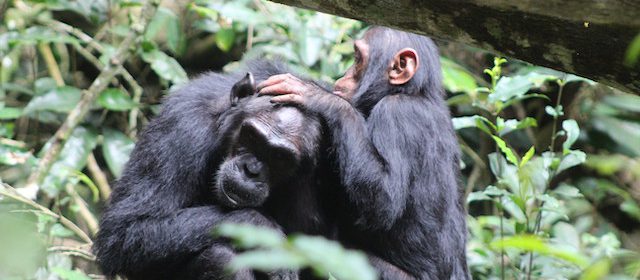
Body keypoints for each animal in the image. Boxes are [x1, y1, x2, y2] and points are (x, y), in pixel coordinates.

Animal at [95, 62, 336, 280]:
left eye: (280, 158)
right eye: (252, 136)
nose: (251, 170)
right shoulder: (182, 128)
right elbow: (125, 231)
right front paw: (266, 236)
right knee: (220, 258)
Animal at [258, 25, 470, 278]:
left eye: (358, 59)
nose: (345, 73)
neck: (412, 92)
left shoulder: (395, 114)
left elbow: (383, 201)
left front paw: (319, 97)